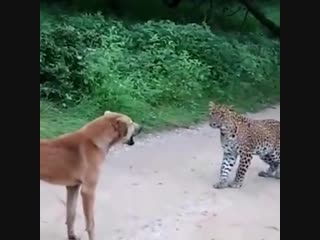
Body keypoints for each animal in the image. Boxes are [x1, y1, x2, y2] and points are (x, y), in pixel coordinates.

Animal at [39, 111, 141, 240]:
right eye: (131, 123)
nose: (142, 127)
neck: (94, 141)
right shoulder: (88, 191)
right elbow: (90, 224)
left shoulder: (72, 187)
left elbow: (71, 215)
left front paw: (72, 235)